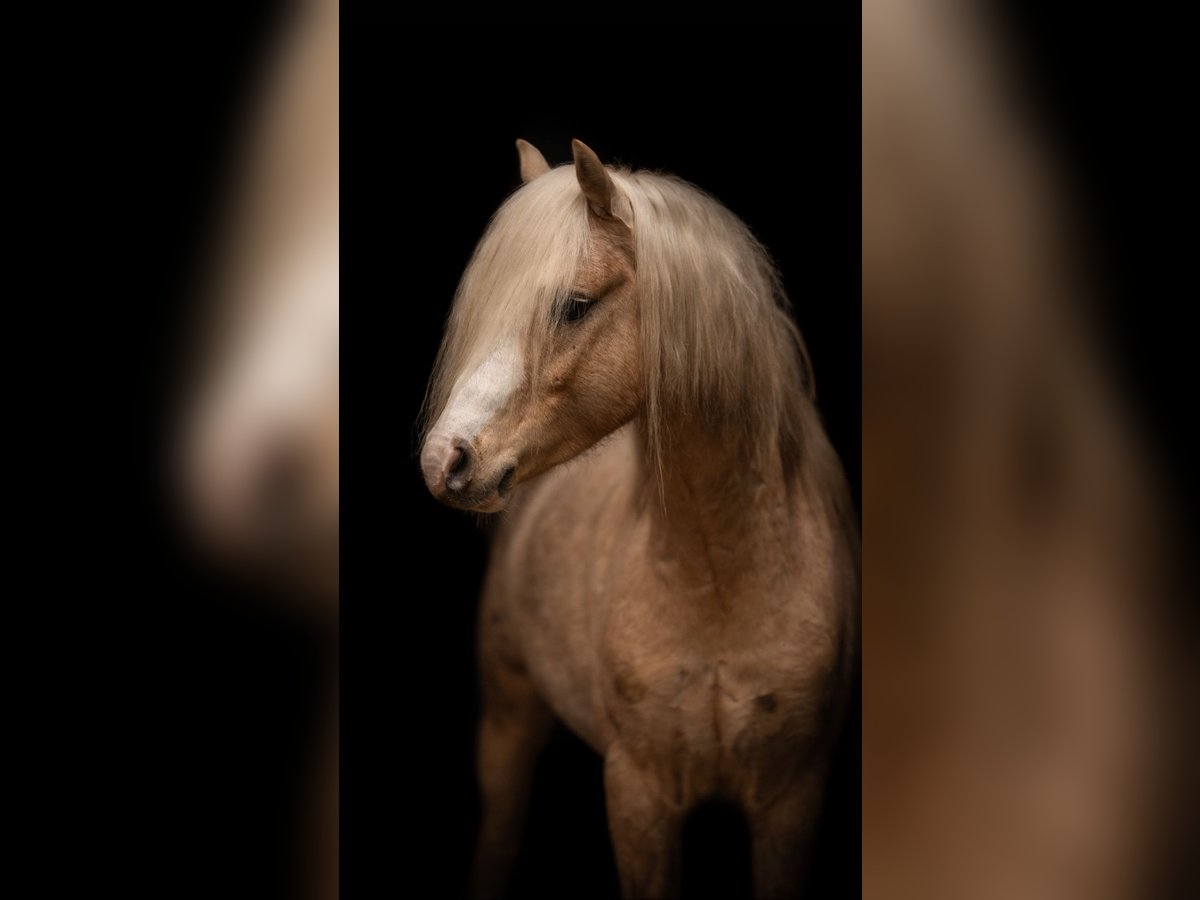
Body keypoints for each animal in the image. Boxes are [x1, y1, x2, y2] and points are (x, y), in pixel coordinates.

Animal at [419, 139, 859, 898]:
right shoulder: (638, 795)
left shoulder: (792, 805)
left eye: (573, 306)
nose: (443, 459)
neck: (722, 580)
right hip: (508, 722)